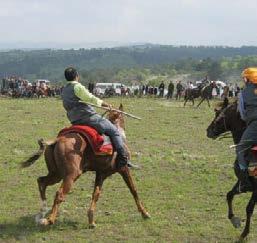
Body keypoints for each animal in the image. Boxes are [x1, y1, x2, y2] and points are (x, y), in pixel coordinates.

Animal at [22, 104, 150, 228]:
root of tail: (58, 139)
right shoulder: (123, 169)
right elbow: (133, 190)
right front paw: (145, 213)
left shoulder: (101, 173)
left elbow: (96, 194)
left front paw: (91, 220)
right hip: (71, 175)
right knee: (59, 194)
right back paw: (49, 220)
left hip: (56, 174)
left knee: (42, 181)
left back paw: (42, 212)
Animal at [205, 98, 257, 239]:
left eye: (218, 114)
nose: (208, 130)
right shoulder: (244, 184)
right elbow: (229, 195)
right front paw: (234, 219)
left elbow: (249, 208)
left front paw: (244, 233)